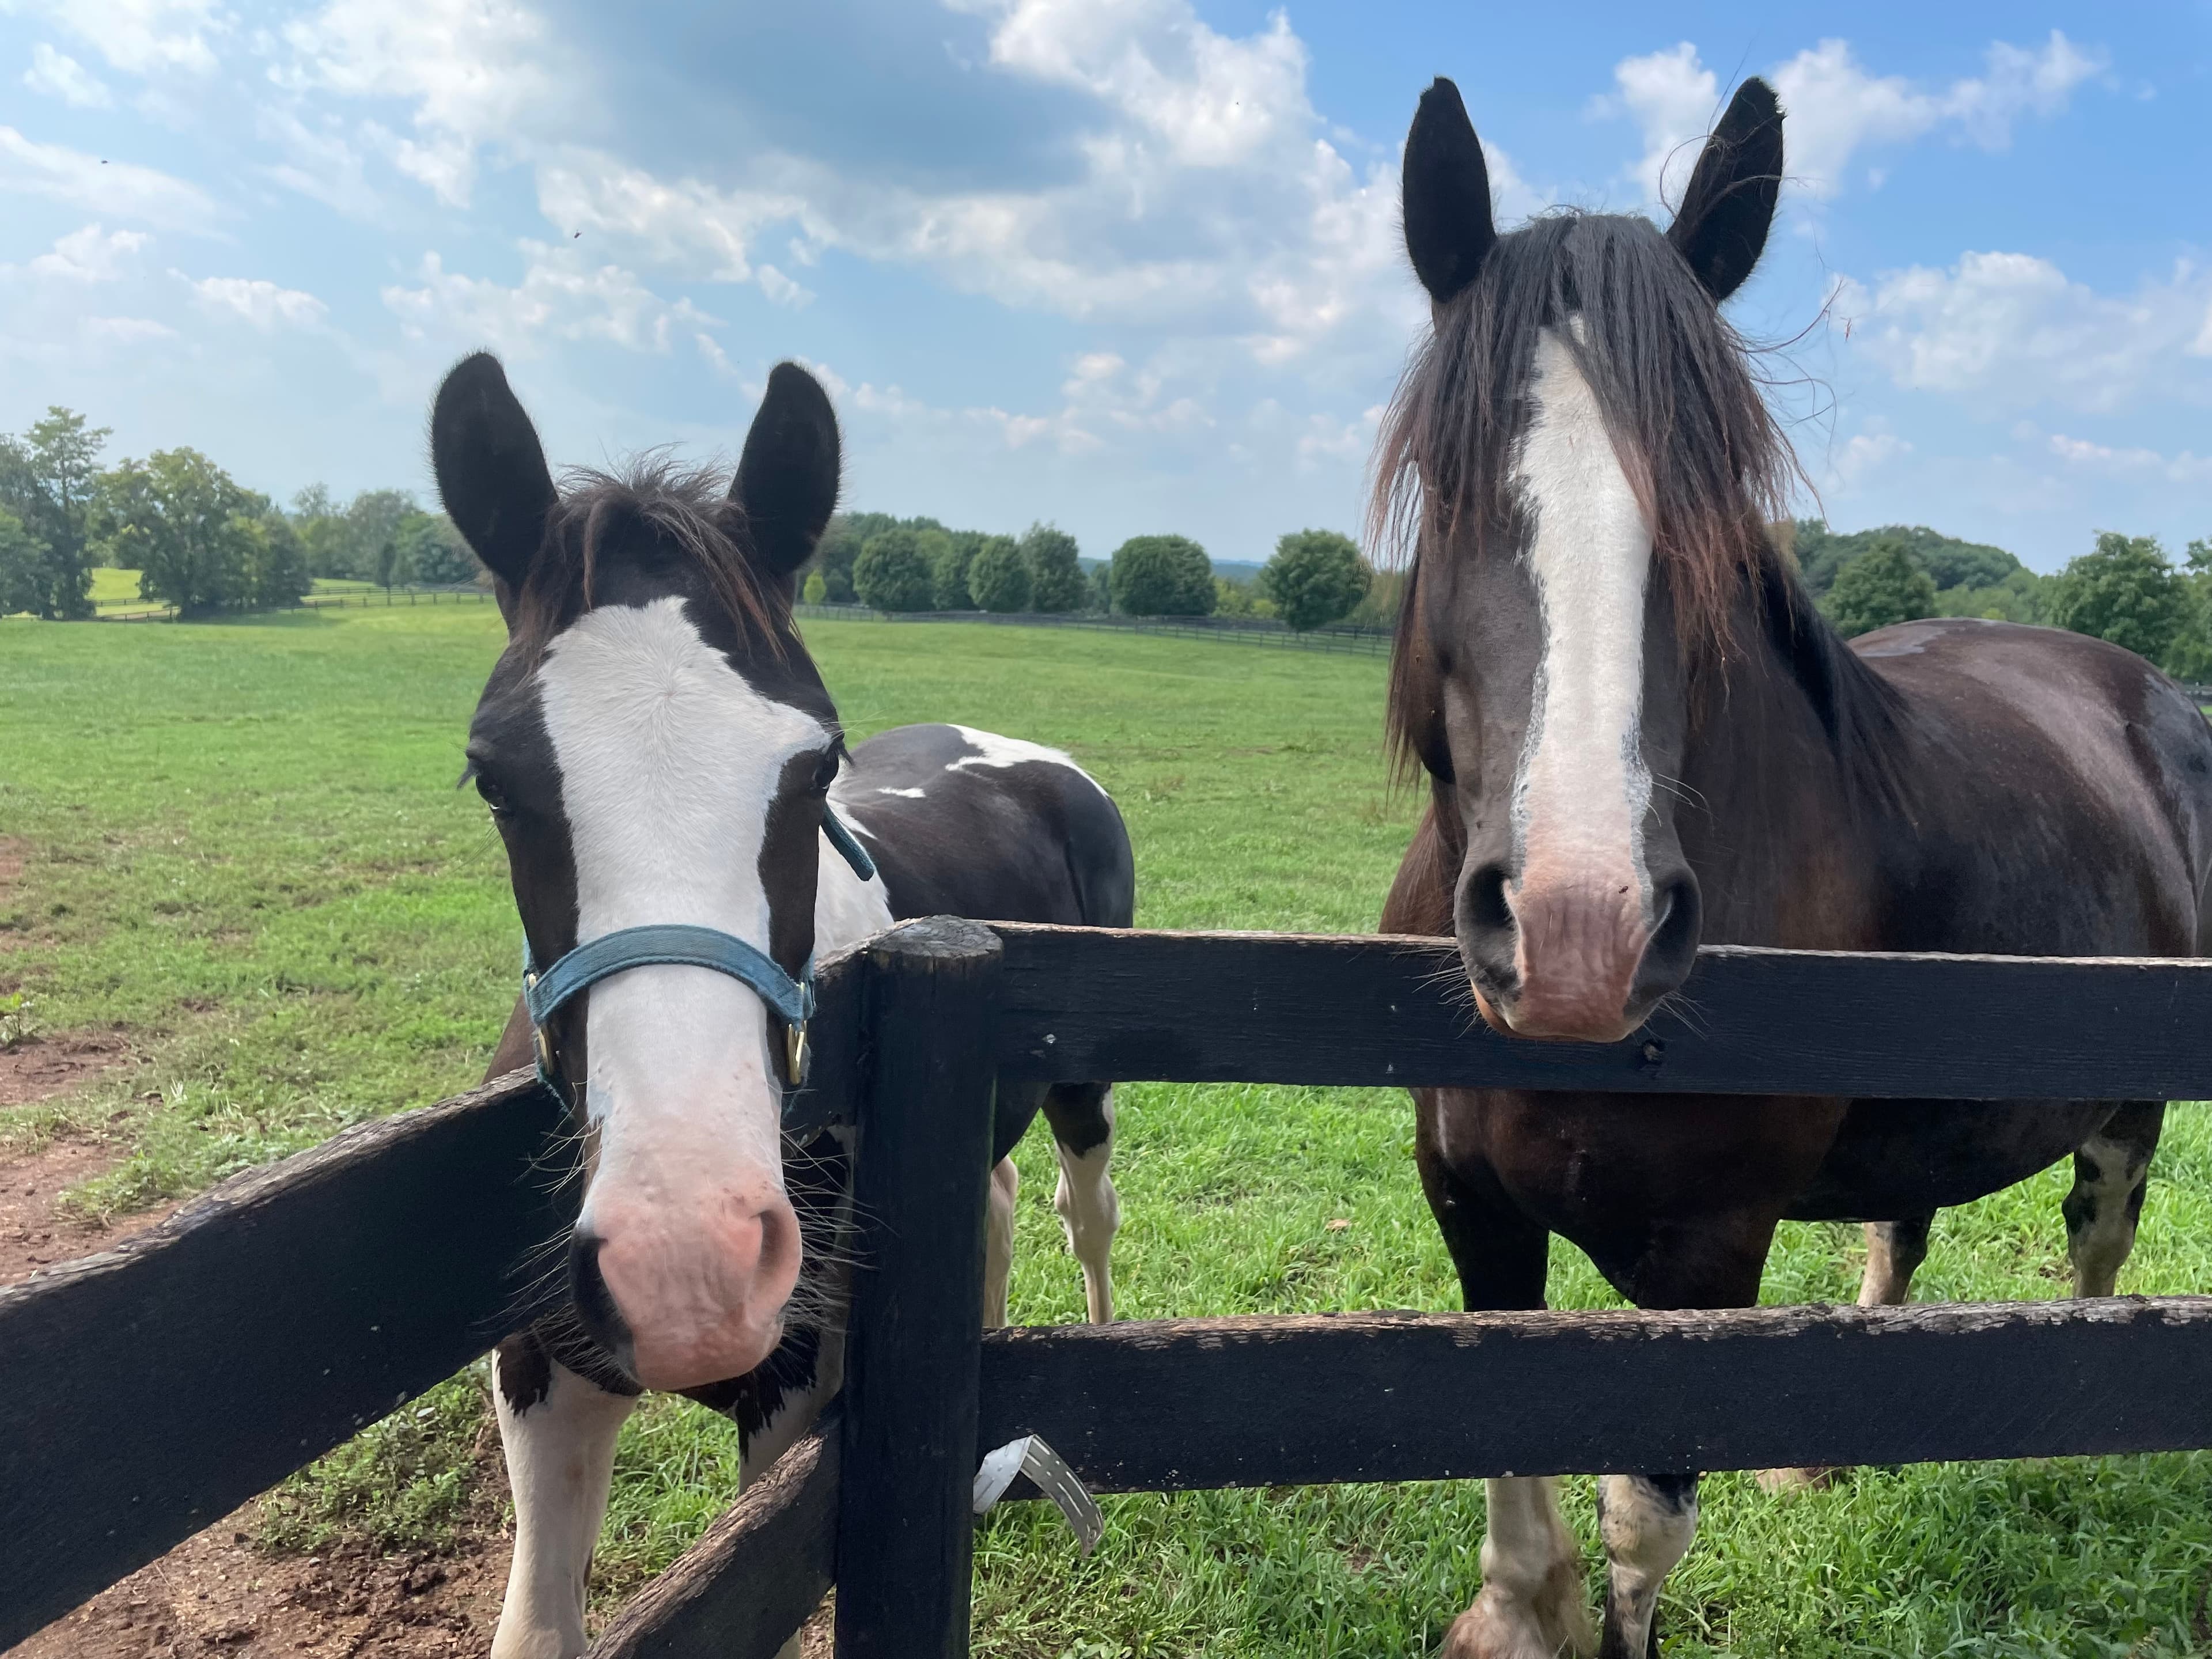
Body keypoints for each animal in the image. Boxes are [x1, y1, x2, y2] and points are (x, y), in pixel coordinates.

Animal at [433, 354, 1132, 1659]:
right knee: (998, 1200)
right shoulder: (544, 1375)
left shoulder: (793, 1402)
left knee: (1086, 1212)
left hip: (1085, 1088)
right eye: (493, 777)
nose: (686, 1263)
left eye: (815, 768)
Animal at [1371, 78, 2203, 1659]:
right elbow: (1507, 1484)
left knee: (2098, 1235)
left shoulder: (1703, 1249)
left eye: (1711, 511)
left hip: (2129, 1099)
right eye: (1446, 490)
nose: (1580, 933)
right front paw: (1513, 1611)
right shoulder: (1469, 1208)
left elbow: (1640, 1528)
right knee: (1898, 1235)